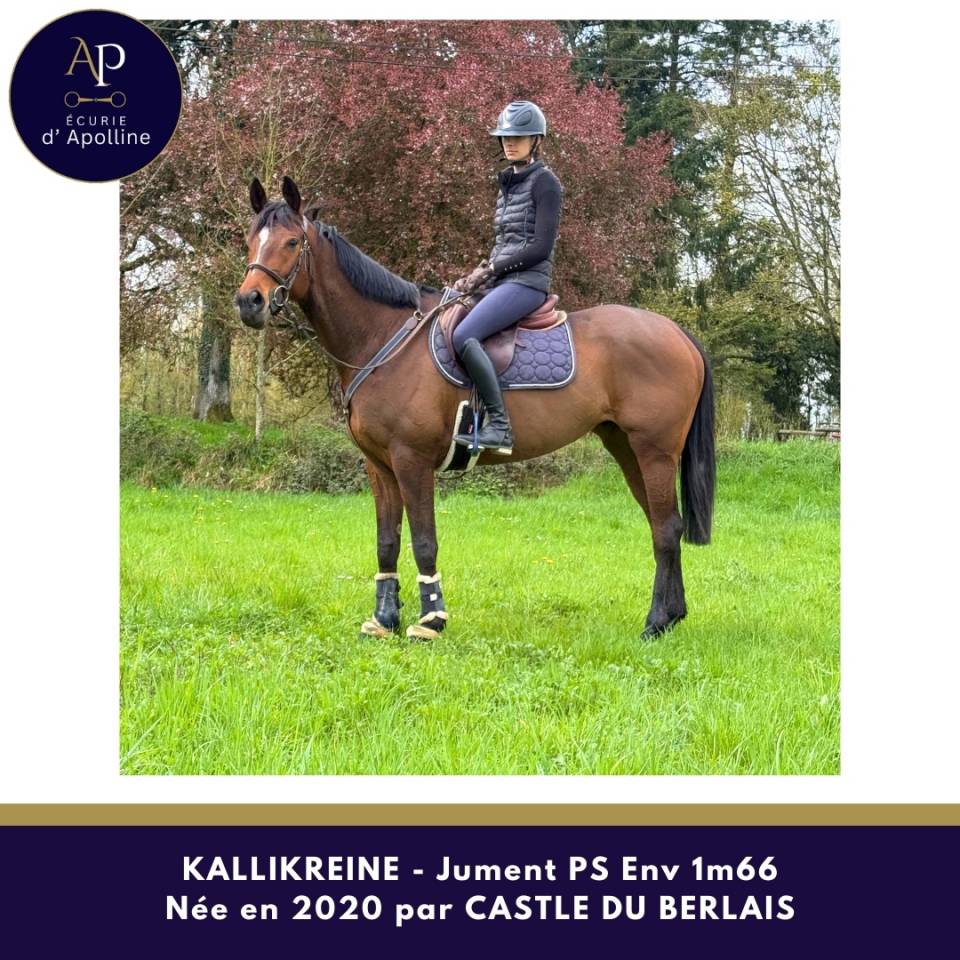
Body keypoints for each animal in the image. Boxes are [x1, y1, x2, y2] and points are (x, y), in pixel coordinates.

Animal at [235, 176, 715, 640]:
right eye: (249, 240)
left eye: (291, 242)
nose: (249, 302)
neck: (384, 338)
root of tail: (677, 332)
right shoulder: (379, 465)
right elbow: (386, 541)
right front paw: (384, 619)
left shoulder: (411, 461)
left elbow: (423, 541)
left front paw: (430, 621)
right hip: (627, 448)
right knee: (663, 524)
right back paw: (672, 616)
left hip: (654, 451)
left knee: (666, 529)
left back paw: (655, 621)